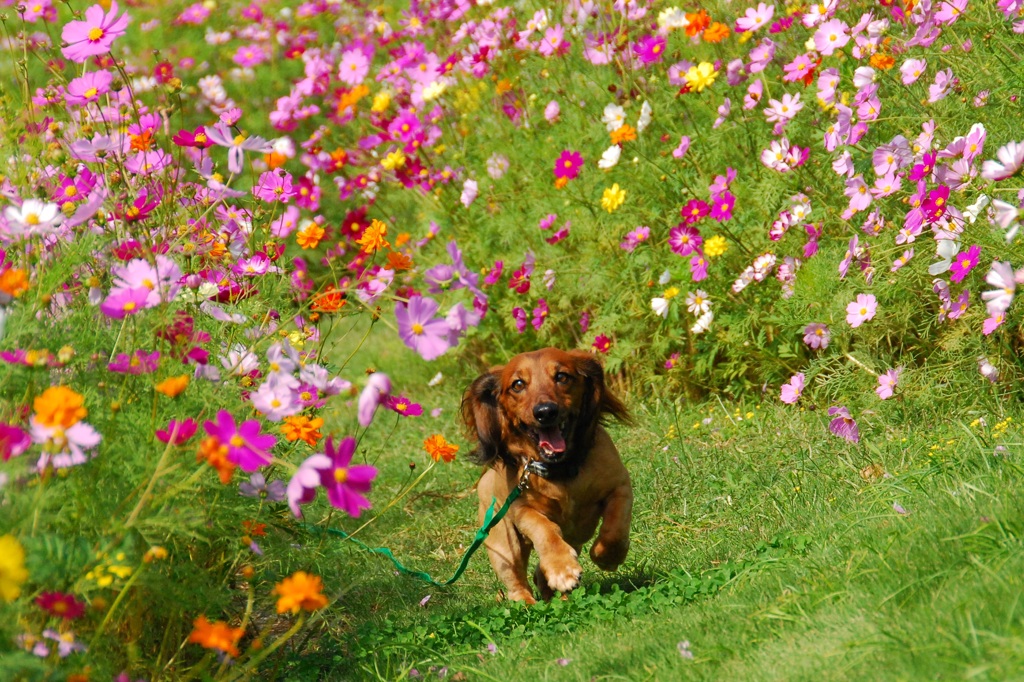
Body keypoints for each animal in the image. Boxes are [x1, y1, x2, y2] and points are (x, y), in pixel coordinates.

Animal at [462, 346, 630, 602]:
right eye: (518, 384)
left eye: (562, 376)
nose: (545, 412)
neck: (560, 471)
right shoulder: (521, 509)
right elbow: (544, 529)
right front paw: (562, 568)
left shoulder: (619, 486)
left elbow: (616, 530)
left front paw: (606, 556)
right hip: (503, 546)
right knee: (516, 581)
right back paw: (528, 602)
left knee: (540, 575)